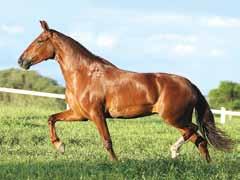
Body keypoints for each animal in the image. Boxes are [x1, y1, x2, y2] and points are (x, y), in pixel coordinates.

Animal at [18, 20, 232, 162]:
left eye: (39, 41)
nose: (21, 61)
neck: (84, 74)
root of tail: (190, 84)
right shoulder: (79, 114)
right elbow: (51, 118)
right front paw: (60, 146)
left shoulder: (96, 114)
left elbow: (107, 141)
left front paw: (116, 163)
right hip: (178, 119)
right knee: (200, 140)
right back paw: (204, 166)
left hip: (174, 118)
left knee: (195, 131)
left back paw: (174, 151)